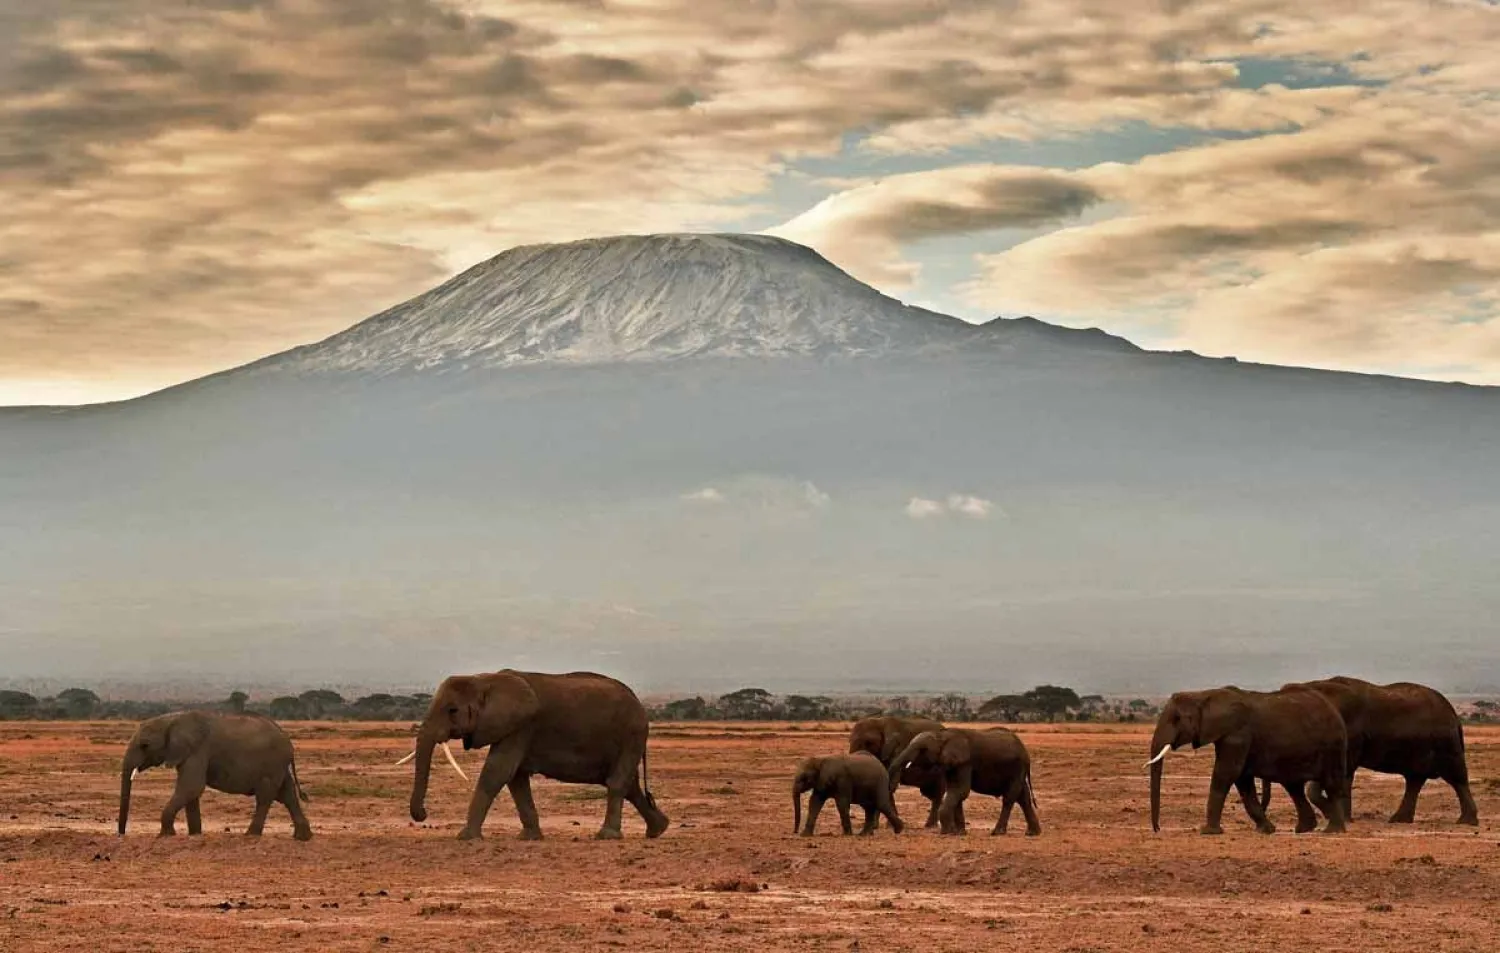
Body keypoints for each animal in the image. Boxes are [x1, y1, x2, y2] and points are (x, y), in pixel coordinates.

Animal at [118, 710, 312, 841]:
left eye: (145, 745)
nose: (121, 835)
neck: (171, 720)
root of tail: (289, 743)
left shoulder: (197, 751)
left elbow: (191, 787)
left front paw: (166, 836)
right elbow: (191, 792)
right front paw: (195, 835)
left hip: (271, 766)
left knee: (265, 797)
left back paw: (251, 835)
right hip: (278, 766)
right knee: (288, 794)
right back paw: (302, 837)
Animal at [401, 669, 669, 841]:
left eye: (452, 710)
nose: (422, 815)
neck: (484, 680)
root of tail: (639, 702)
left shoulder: (520, 726)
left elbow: (497, 772)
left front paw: (465, 838)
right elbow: (516, 779)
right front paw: (529, 838)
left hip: (632, 734)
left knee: (617, 783)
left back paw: (607, 836)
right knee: (630, 785)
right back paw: (658, 830)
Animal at [887, 728, 1040, 836]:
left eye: (922, 749)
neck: (943, 736)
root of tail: (1025, 751)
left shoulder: (965, 762)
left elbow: (960, 790)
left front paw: (947, 832)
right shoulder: (952, 765)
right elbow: (956, 791)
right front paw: (959, 833)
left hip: (1017, 769)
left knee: (1010, 798)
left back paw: (997, 832)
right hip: (1018, 770)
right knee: (1023, 798)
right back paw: (1032, 833)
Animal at [1147, 686, 1348, 836]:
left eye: (1177, 718)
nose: (1157, 829)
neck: (1203, 695)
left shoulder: (1236, 734)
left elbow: (1227, 773)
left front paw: (1208, 832)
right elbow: (1242, 780)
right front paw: (1265, 830)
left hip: (1332, 747)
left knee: (1330, 784)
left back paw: (1333, 831)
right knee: (1294, 787)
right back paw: (1304, 829)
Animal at [1257, 677, 1478, 826]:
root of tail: (1453, 713)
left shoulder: (1350, 735)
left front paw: (1338, 816)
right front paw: (1336, 815)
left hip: (1445, 742)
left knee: (1456, 778)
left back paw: (1466, 821)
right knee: (1414, 779)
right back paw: (1399, 820)